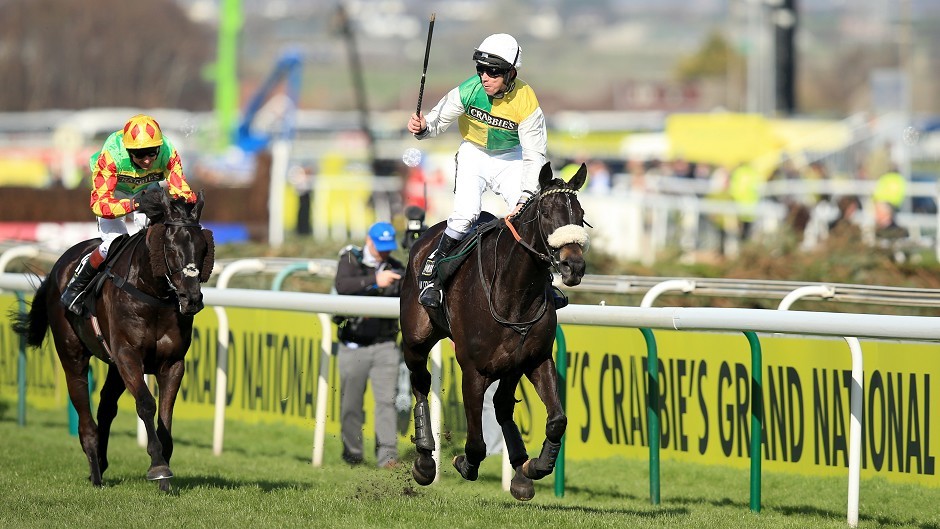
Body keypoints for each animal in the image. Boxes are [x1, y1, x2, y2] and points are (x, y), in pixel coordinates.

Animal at [11, 191, 214, 490]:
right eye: (170, 246)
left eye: (203, 247)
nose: (191, 299)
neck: (152, 294)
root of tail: (58, 265)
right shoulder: (128, 355)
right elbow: (146, 404)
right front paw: (158, 466)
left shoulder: (172, 362)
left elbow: (166, 416)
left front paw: (165, 473)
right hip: (72, 355)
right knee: (84, 409)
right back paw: (95, 471)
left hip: (114, 365)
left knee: (106, 406)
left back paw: (102, 462)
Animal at [400, 163, 592, 502]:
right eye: (546, 213)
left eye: (580, 214)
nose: (574, 266)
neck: (514, 292)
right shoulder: (472, 370)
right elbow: (476, 442)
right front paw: (463, 462)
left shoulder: (536, 358)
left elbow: (557, 420)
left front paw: (536, 466)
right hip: (416, 337)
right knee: (420, 381)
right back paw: (424, 459)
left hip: (511, 365)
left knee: (503, 404)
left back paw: (521, 471)